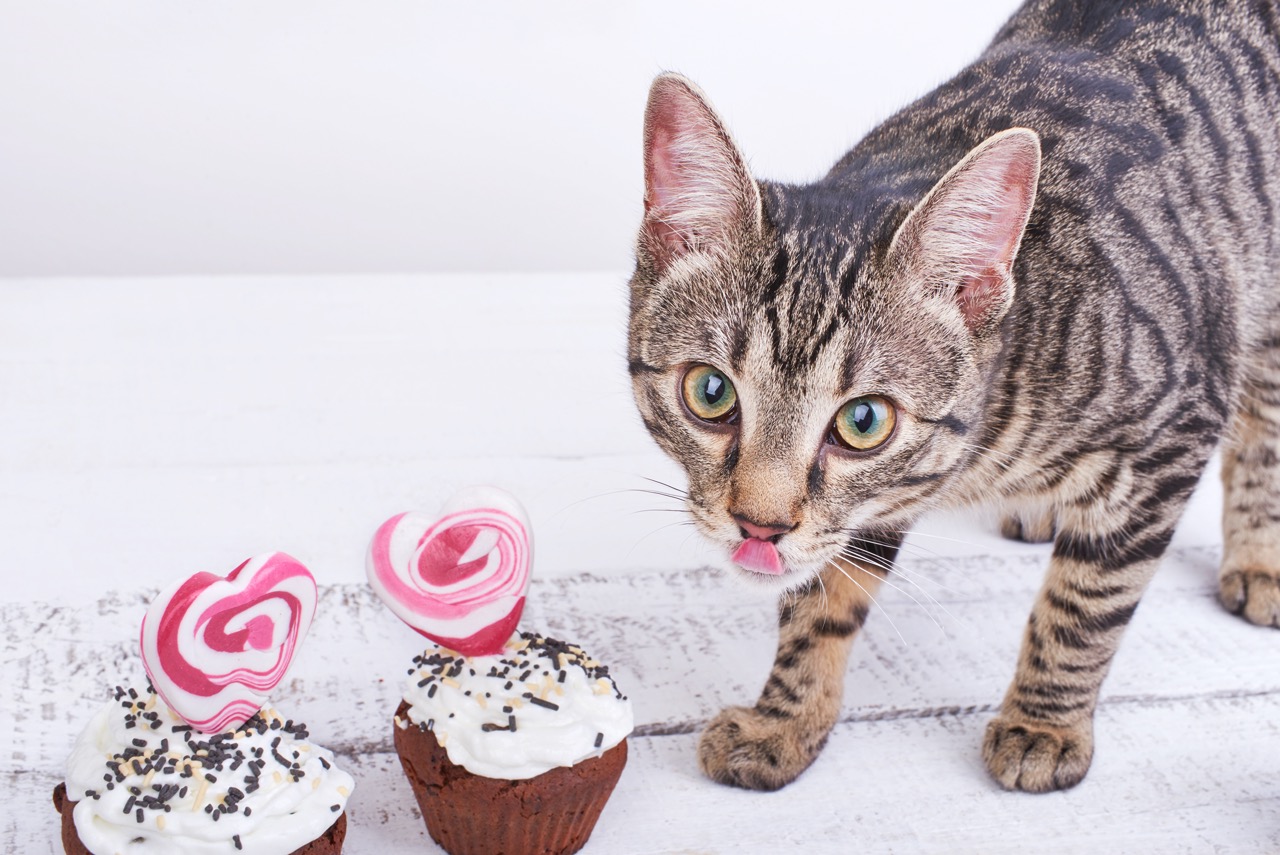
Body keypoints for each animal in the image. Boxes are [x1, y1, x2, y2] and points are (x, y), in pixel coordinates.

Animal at [624, 0, 1280, 793]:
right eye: (711, 391)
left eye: (864, 421)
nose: (759, 525)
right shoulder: (865, 512)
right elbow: (822, 603)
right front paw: (786, 718)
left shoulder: (1177, 425)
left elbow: (1087, 601)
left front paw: (1043, 722)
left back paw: (1258, 560)